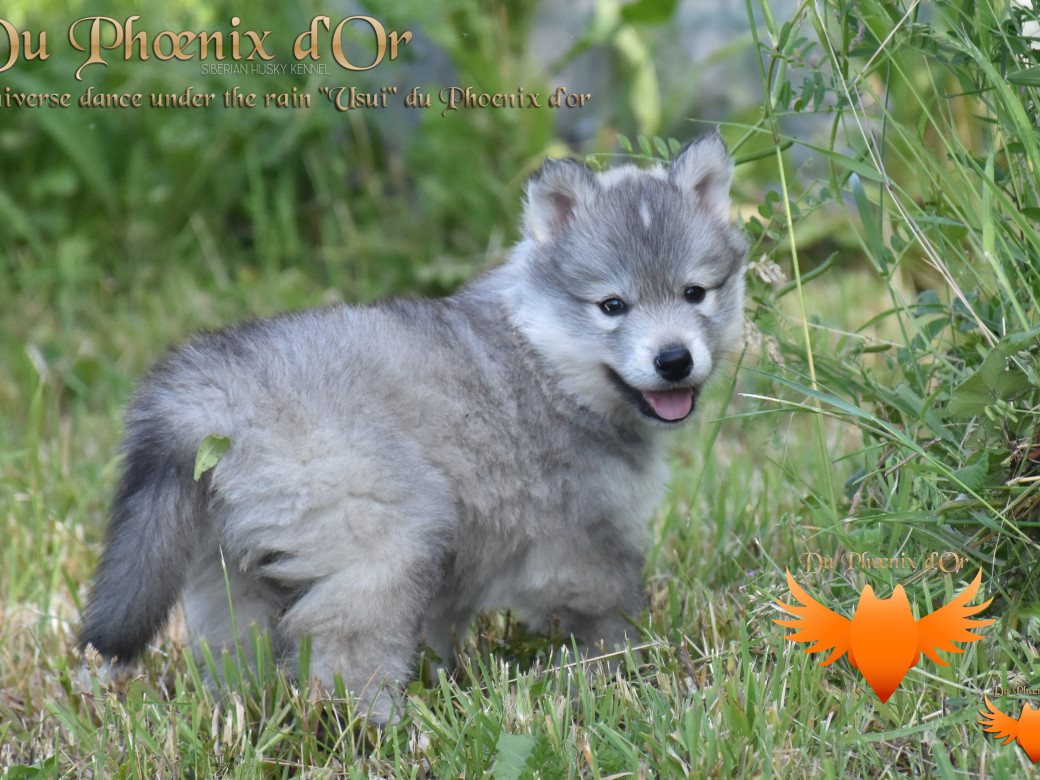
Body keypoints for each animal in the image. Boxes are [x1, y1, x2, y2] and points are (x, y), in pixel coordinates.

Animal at [81, 131, 748, 723]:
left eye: (695, 293)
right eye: (612, 306)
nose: (674, 359)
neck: (545, 359)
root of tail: (209, 393)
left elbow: (442, 625)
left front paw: (449, 672)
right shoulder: (583, 538)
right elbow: (611, 612)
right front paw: (626, 665)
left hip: (226, 563)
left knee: (241, 649)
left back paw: (251, 711)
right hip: (395, 531)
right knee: (341, 643)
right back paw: (379, 726)